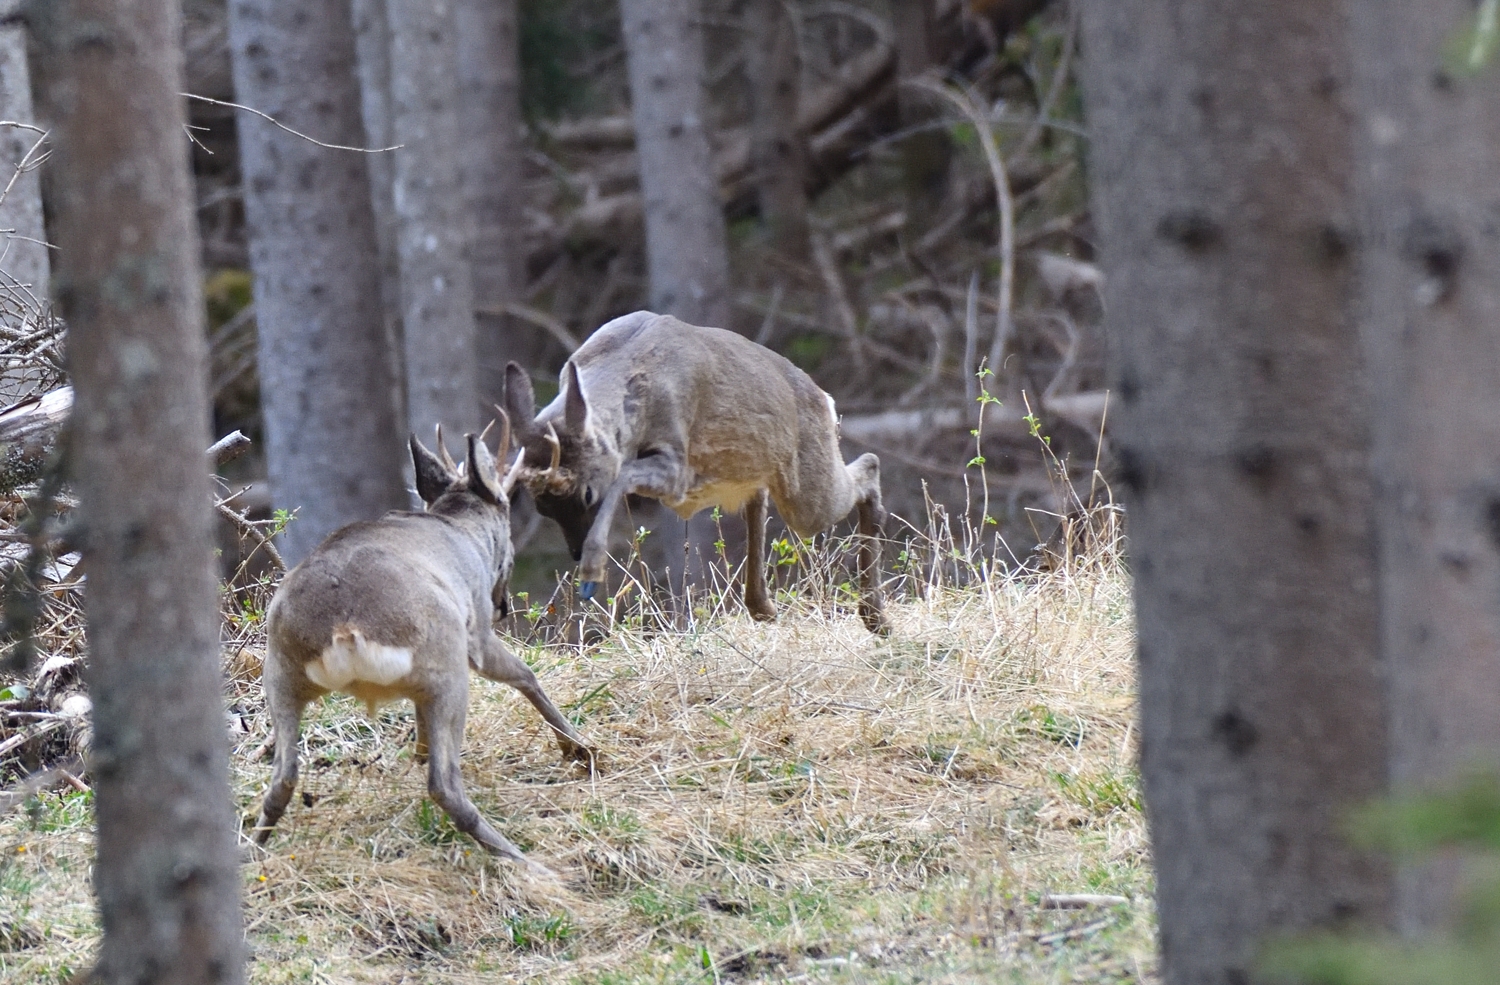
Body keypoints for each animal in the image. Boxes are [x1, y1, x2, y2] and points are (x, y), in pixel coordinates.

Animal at [252, 424, 594, 872]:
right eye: (506, 518)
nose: (503, 605)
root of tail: (344, 627)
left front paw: (414, 755)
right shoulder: (476, 633)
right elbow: (526, 674)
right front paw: (579, 748)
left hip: (279, 670)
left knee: (282, 780)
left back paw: (251, 851)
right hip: (446, 663)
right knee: (445, 785)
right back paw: (527, 863)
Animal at [504, 309, 889, 634]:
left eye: (586, 494)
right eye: (543, 508)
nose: (574, 551)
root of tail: (825, 397)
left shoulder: (677, 467)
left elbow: (623, 476)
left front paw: (591, 572)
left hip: (807, 491)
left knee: (869, 465)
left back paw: (876, 618)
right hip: (755, 475)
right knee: (761, 504)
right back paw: (770, 608)